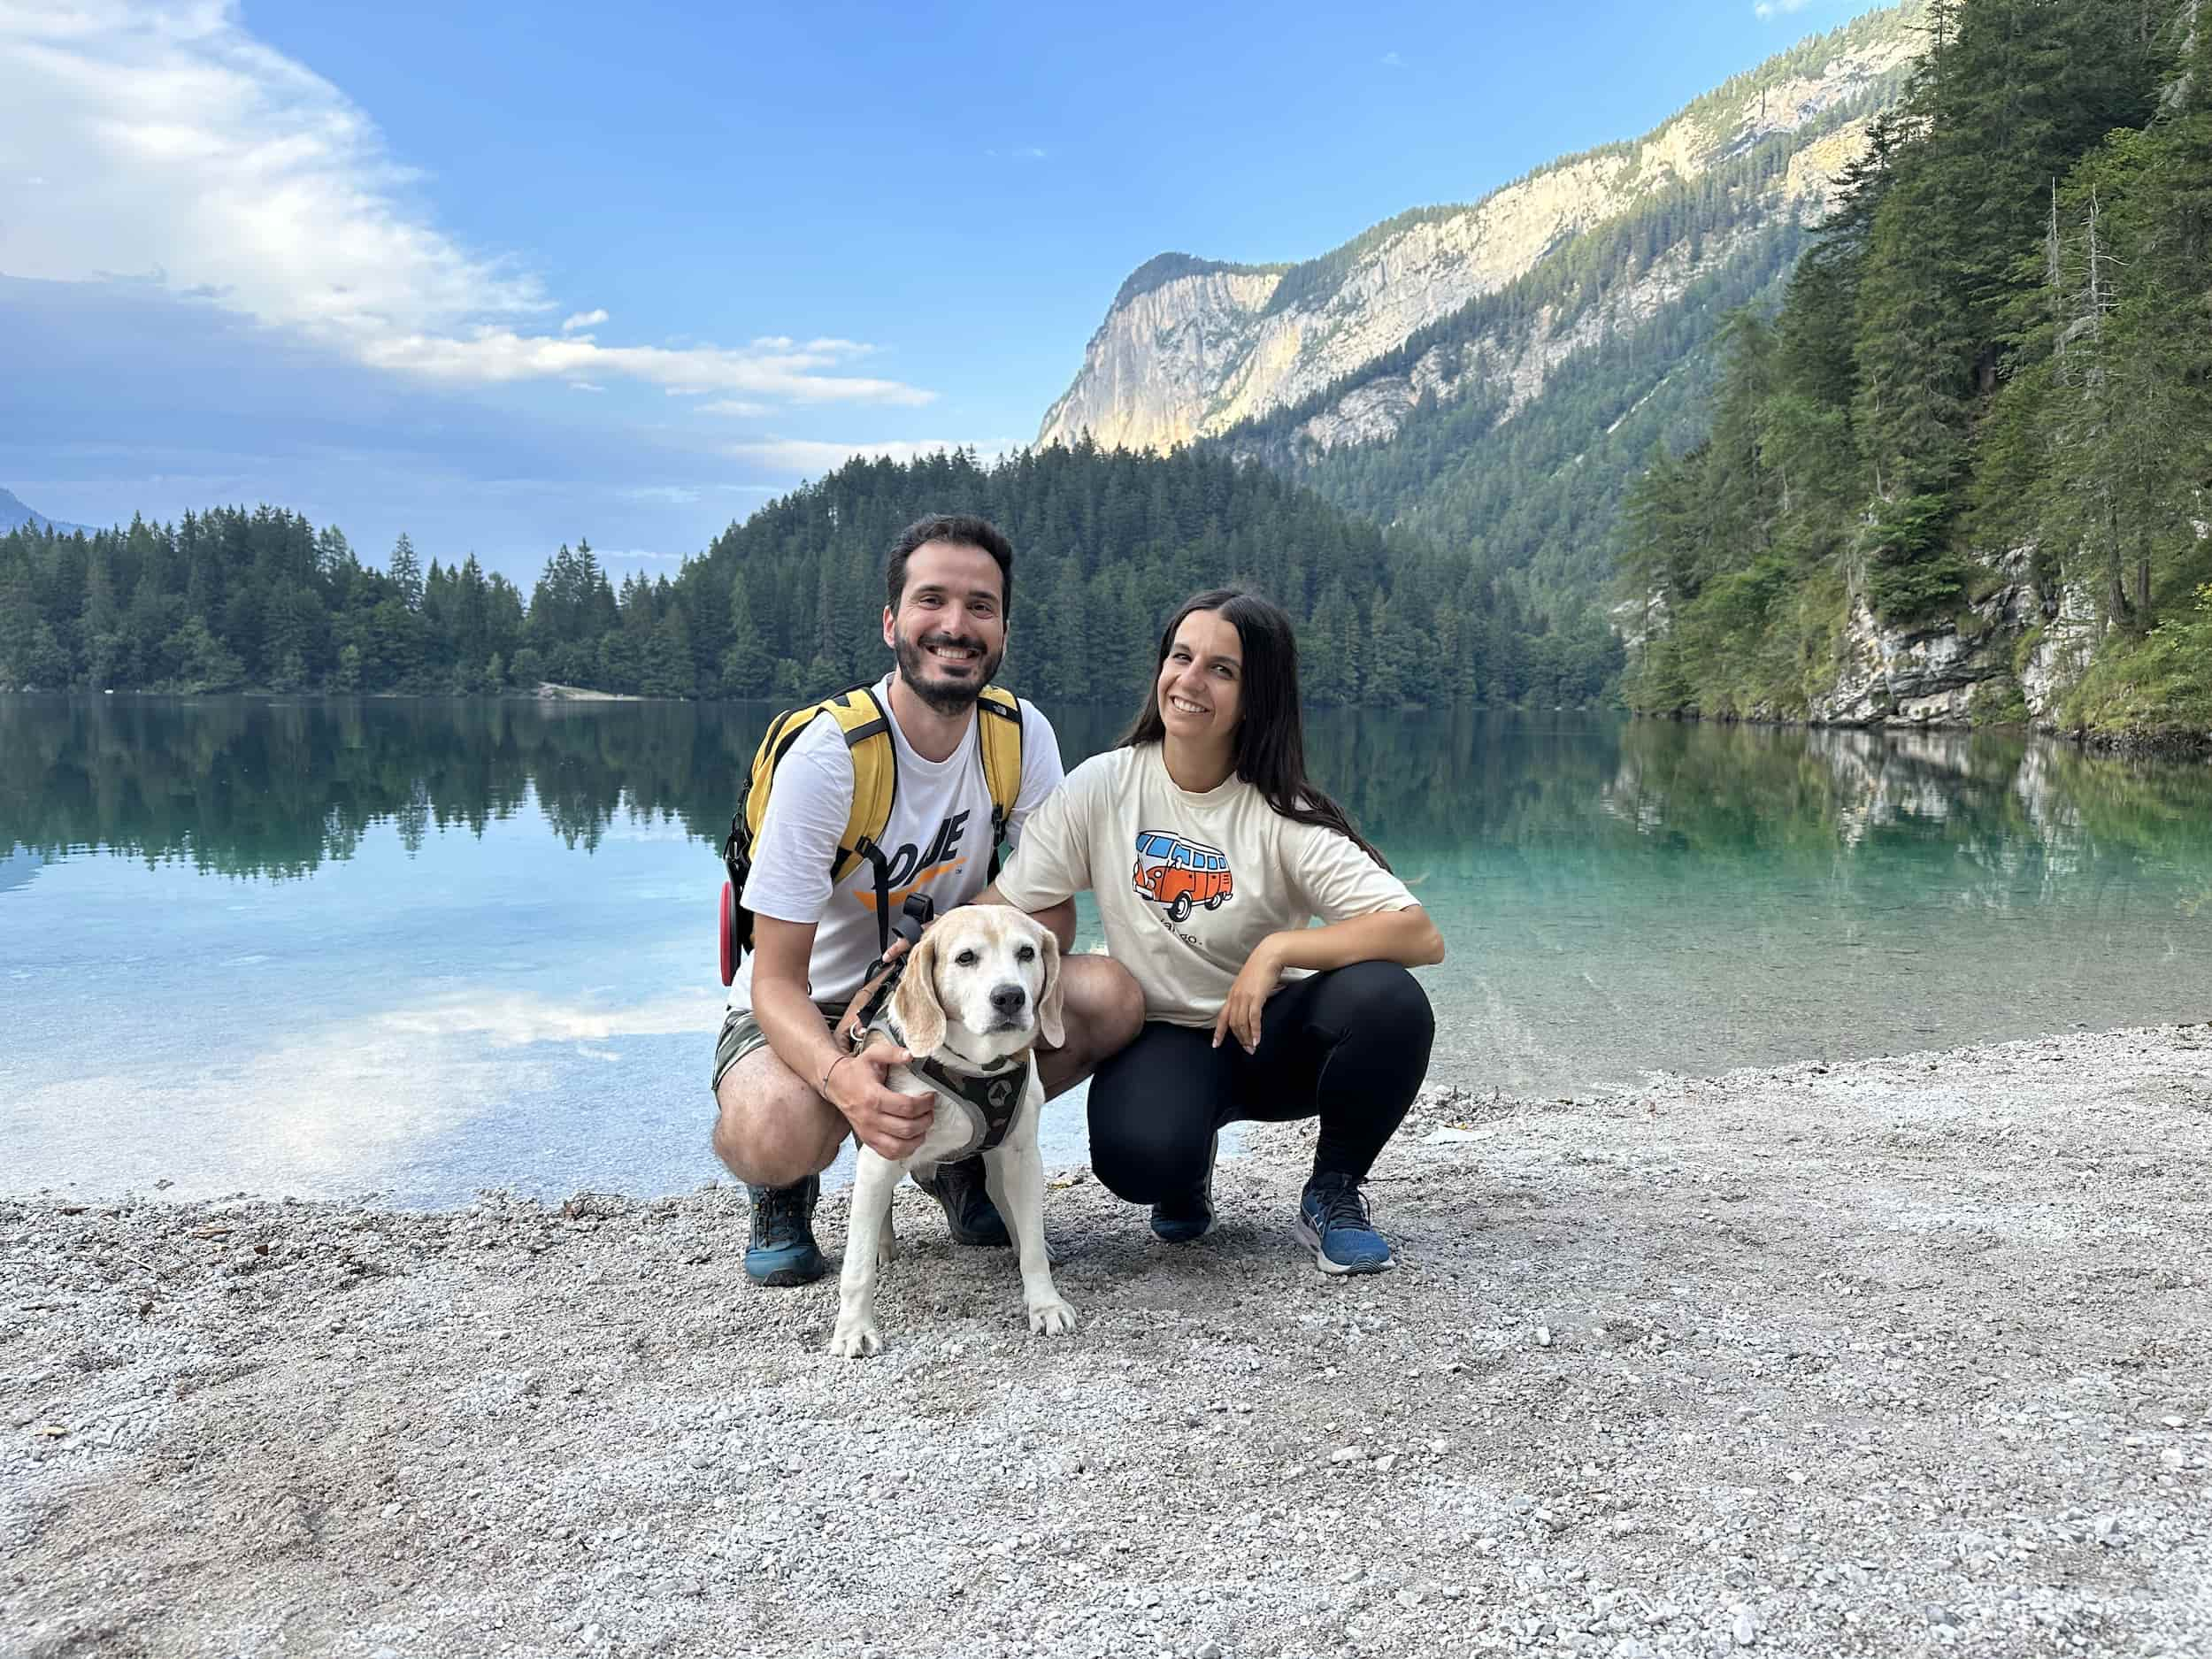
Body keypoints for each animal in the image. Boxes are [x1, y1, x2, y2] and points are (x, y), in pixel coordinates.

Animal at [827, 911, 1075, 1363]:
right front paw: (854, 1329)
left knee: (1005, 1202)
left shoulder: (1023, 1155)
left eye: (1026, 952)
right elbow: (856, 1266)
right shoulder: (880, 1155)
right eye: (965, 958)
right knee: (877, 1217)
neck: (976, 1066)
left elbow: (1032, 1244)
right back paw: (883, 1247)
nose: (1010, 997)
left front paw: (1045, 1303)